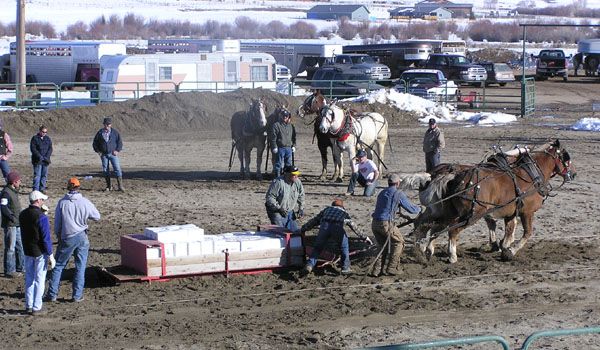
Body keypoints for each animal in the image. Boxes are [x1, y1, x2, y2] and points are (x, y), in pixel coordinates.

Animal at [412, 139, 572, 262]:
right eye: (567, 159)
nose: (573, 174)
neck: (530, 174)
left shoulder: (510, 211)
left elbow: (507, 228)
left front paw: (503, 245)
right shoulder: (527, 212)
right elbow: (527, 233)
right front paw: (510, 250)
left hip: (448, 211)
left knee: (431, 226)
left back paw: (425, 248)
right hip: (470, 215)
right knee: (449, 230)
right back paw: (449, 255)